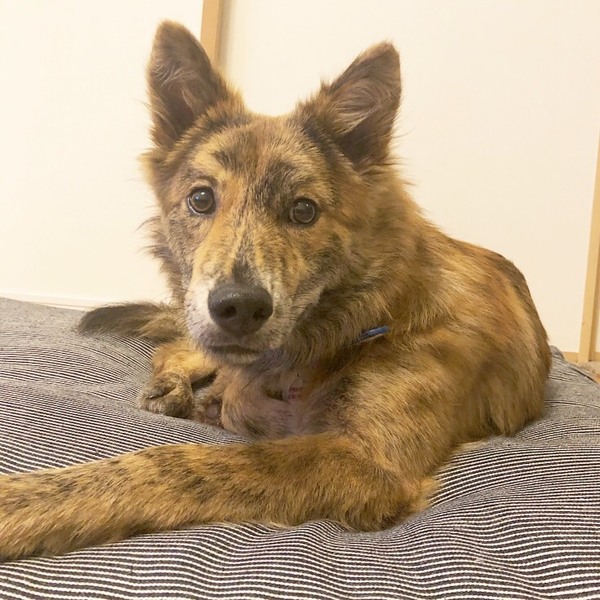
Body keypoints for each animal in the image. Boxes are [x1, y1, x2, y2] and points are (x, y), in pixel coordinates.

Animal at [0, 21, 550, 560]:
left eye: (303, 211)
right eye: (201, 199)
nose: (239, 308)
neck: (361, 319)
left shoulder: (368, 458)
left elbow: (178, 462)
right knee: (175, 348)